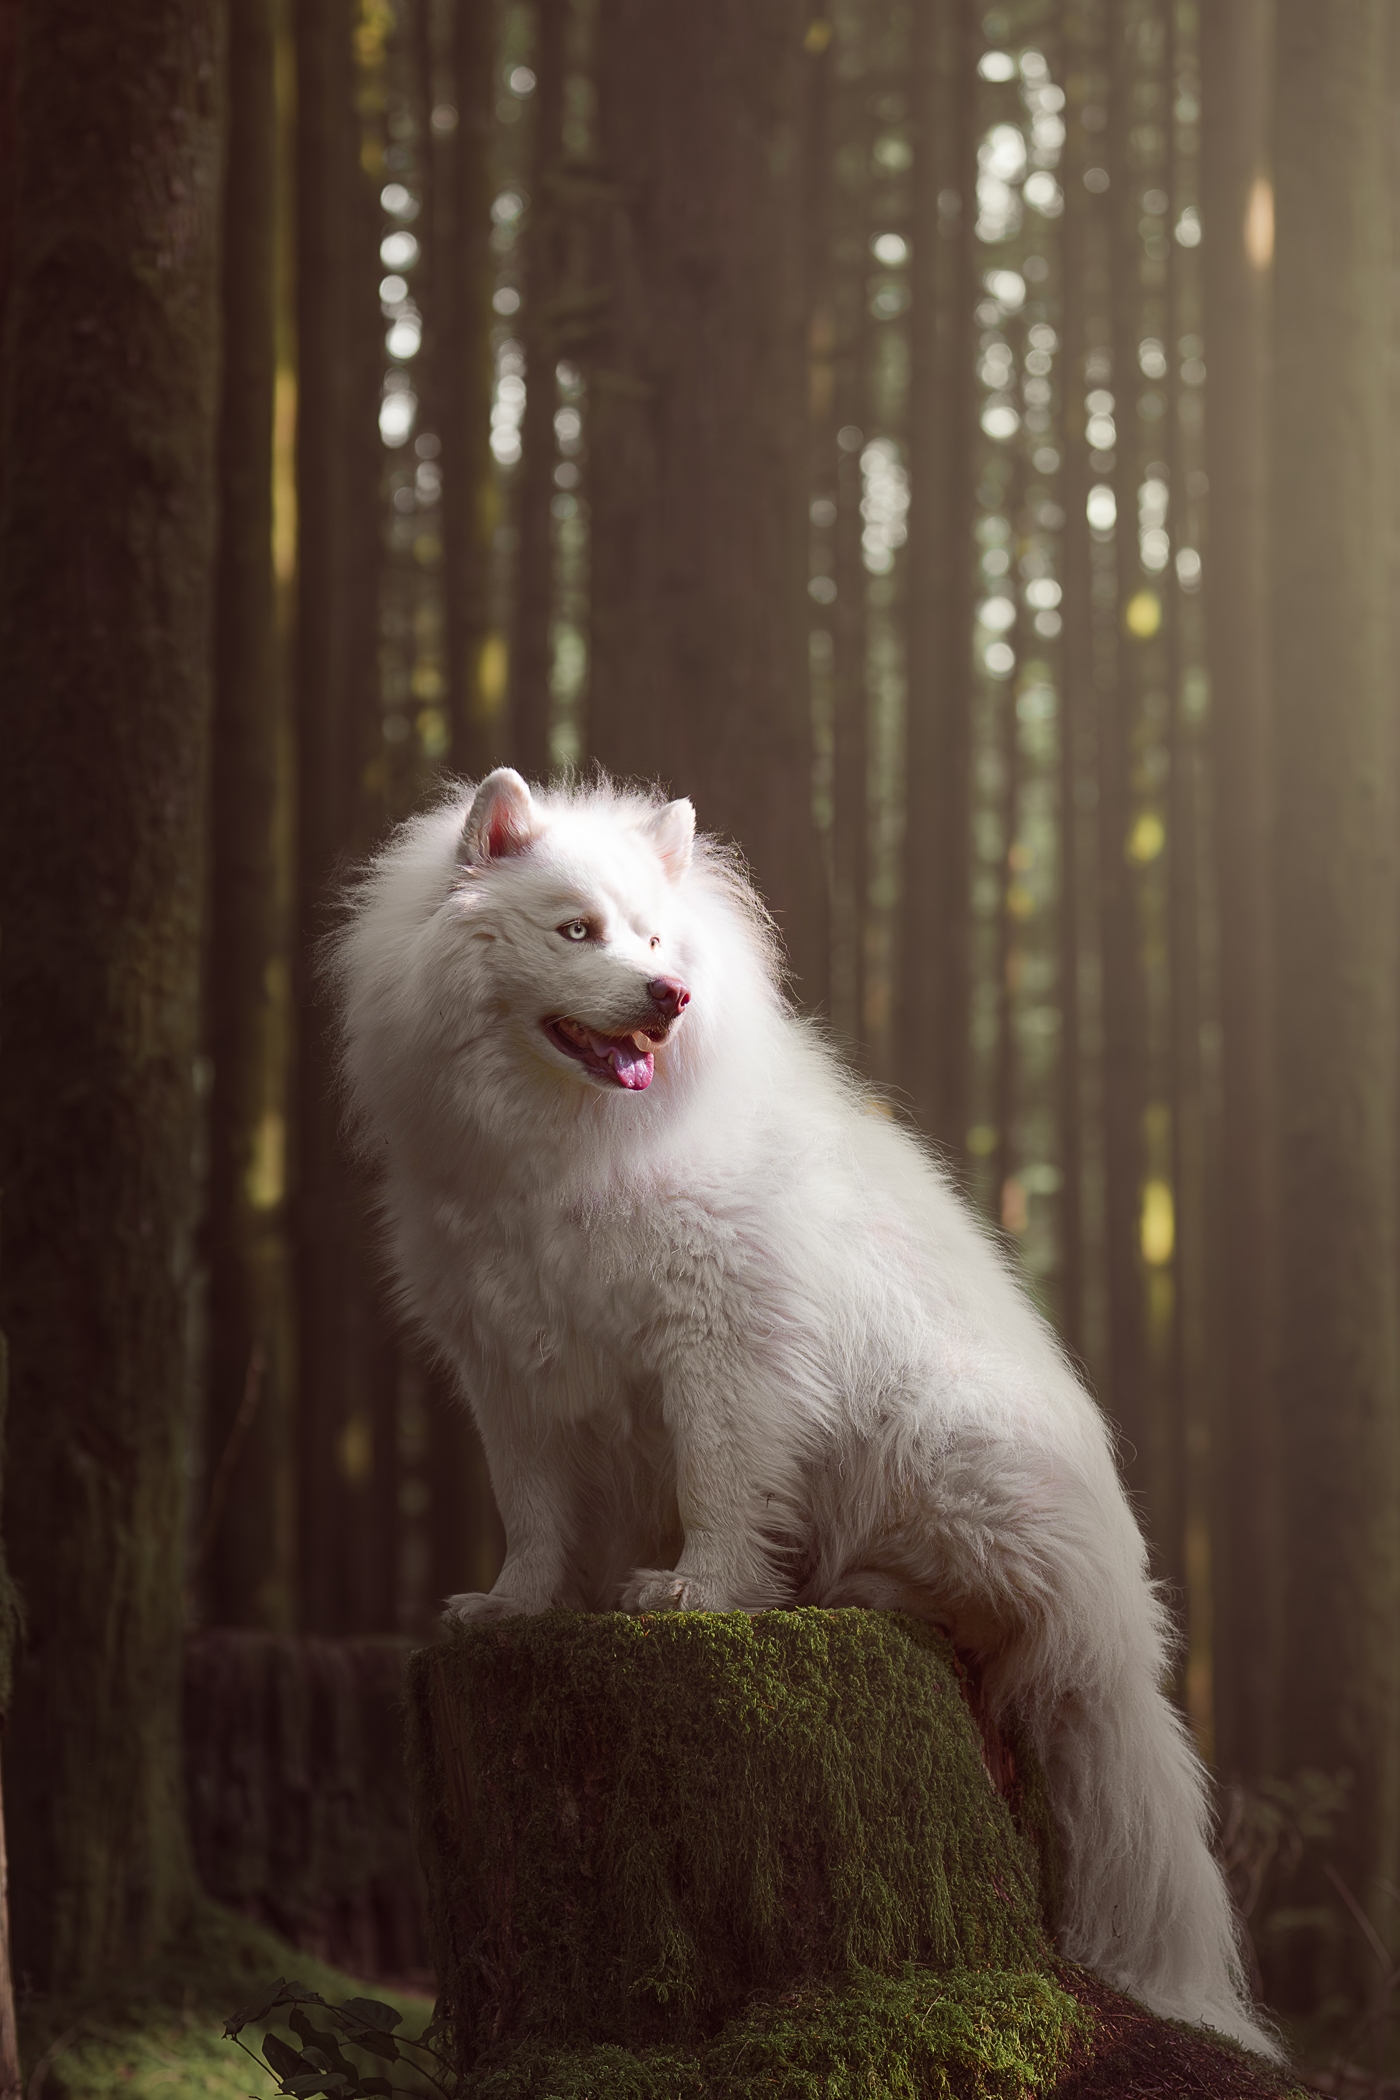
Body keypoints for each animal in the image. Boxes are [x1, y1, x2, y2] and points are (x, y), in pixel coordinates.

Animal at [333, 768, 1276, 2049]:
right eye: (576, 932)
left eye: (656, 941)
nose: (667, 998)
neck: (566, 1148)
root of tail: (1122, 1653)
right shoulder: (508, 1372)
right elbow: (533, 1519)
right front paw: (513, 1607)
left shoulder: (721, 1344)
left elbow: (718, 1487)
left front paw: (698, 1594)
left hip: (944, 1445)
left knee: (1003, 1624)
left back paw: (860, 1589)